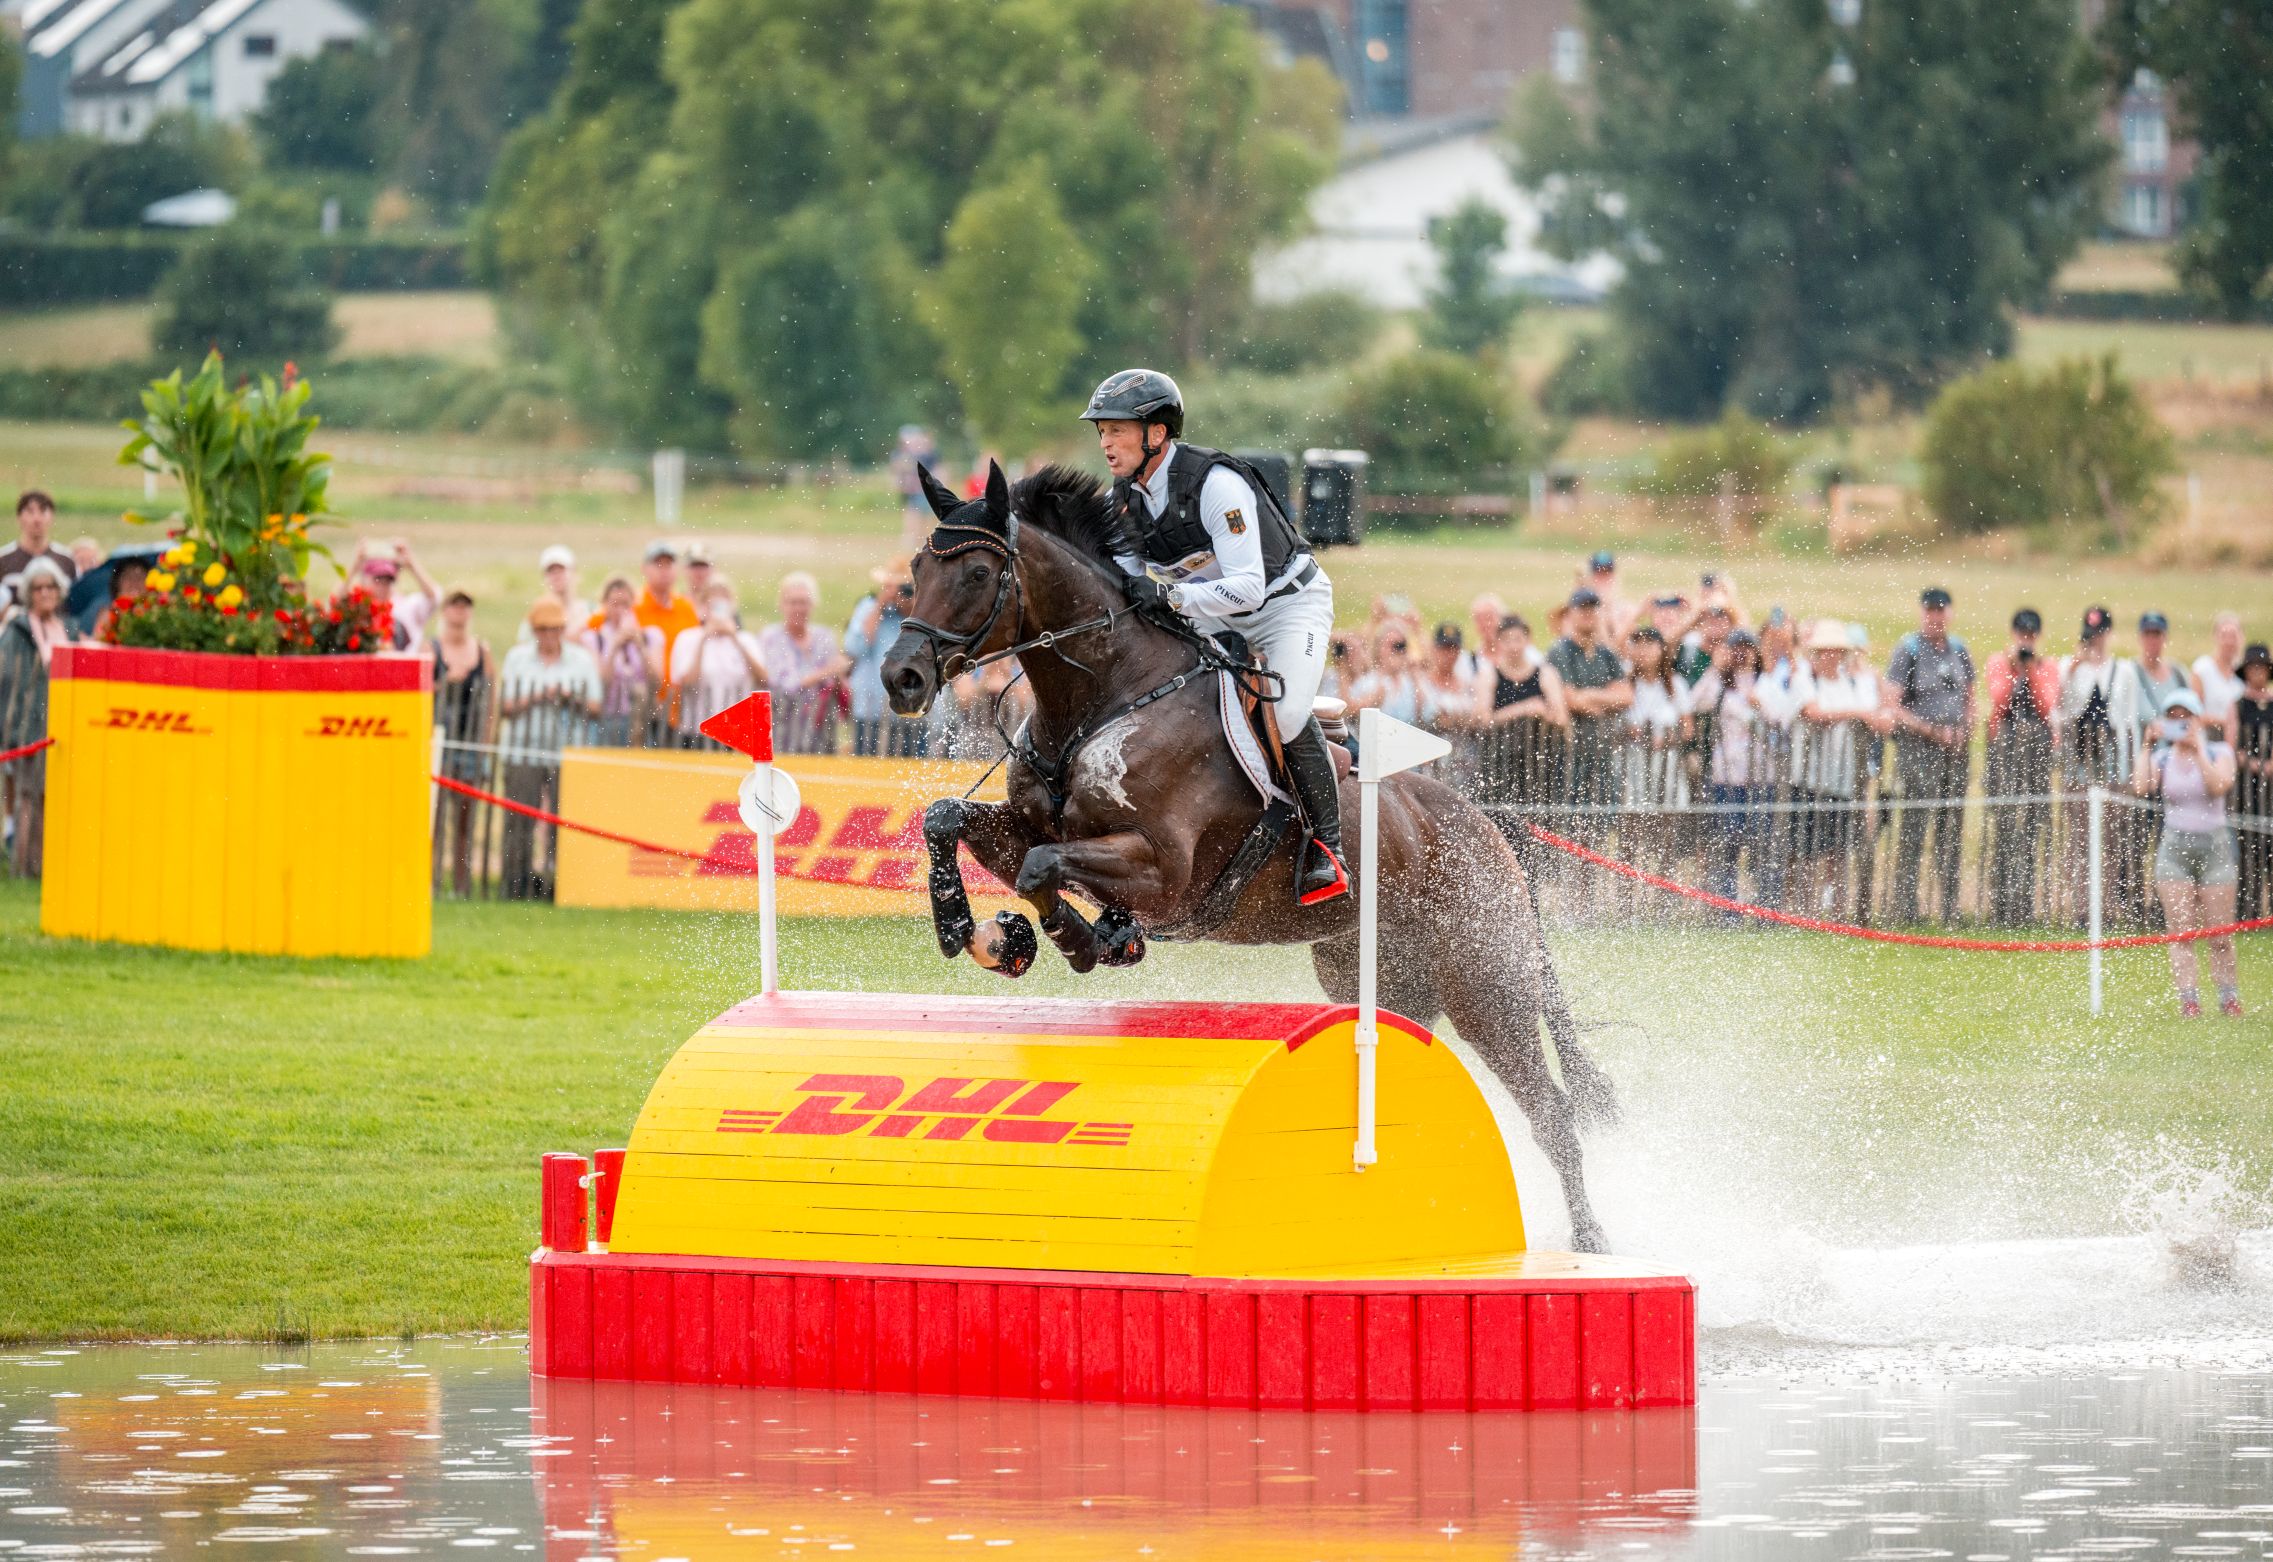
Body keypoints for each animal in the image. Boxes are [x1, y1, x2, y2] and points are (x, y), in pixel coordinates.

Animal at [881, 461, 1619, 1252]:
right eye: (917, 569)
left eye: (978, 572)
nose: (900, 679)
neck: (1103, 696)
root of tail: (1491, 831)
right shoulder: (1024, 822)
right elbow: (951, 820)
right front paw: (977, 933)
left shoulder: (1167, 874)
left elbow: (1043, 866)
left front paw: (1077, 939)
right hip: (1385, 981)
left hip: (1488, 989)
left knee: (1552, 1111)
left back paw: (1591, 1243)